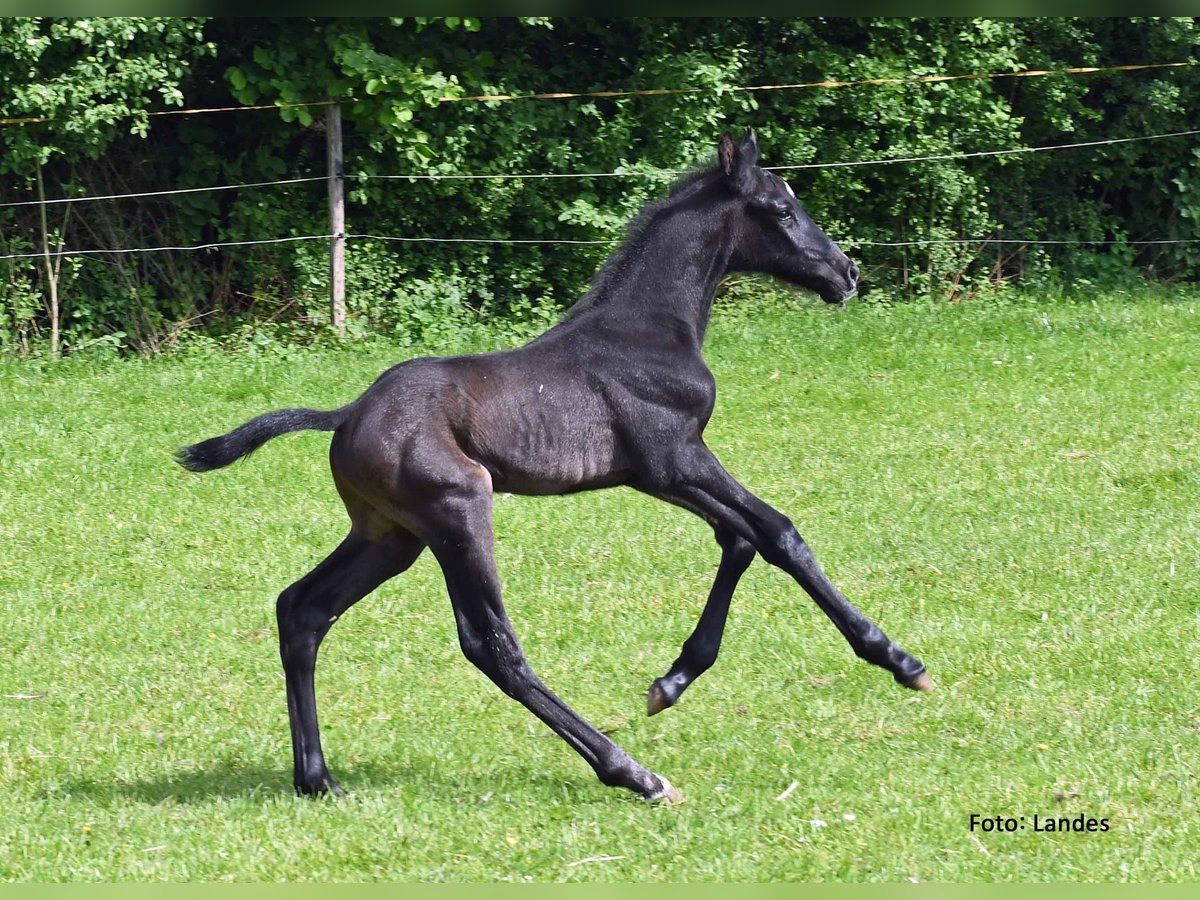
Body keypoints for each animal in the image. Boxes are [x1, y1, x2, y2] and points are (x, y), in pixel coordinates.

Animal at [177, 130, 931, 806]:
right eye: (780, 210)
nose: (846, 274)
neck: (646, 331)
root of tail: (345, 415)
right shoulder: (676, 459)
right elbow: (777, 533)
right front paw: (900, 659)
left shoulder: (658, 475)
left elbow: (739, 540)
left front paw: (672, 682)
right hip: (457, 510)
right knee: (491, 645)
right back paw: (635, 775)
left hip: (390, 536)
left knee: (302, 609)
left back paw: (317, 778)